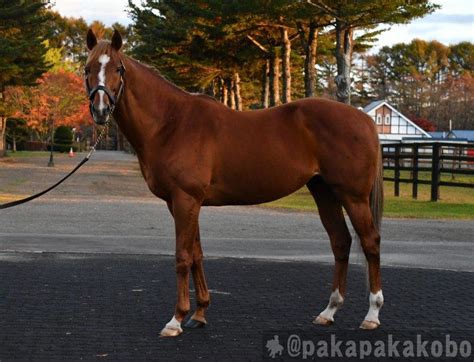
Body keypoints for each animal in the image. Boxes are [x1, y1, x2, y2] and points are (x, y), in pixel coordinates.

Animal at [85, 29, 386, 338]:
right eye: (88, 69)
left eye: (118, 69)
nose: (100, 109)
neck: (172, 123)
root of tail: (363, 119)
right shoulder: (184, 202)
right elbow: (197, 255)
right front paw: (199, 313)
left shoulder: (185, 199)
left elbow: (183, 256)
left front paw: (176, 320)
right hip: (324, 192)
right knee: (341, 241)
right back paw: (329, 311)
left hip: (353, 196)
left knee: (370, 242)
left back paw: (372, 314)